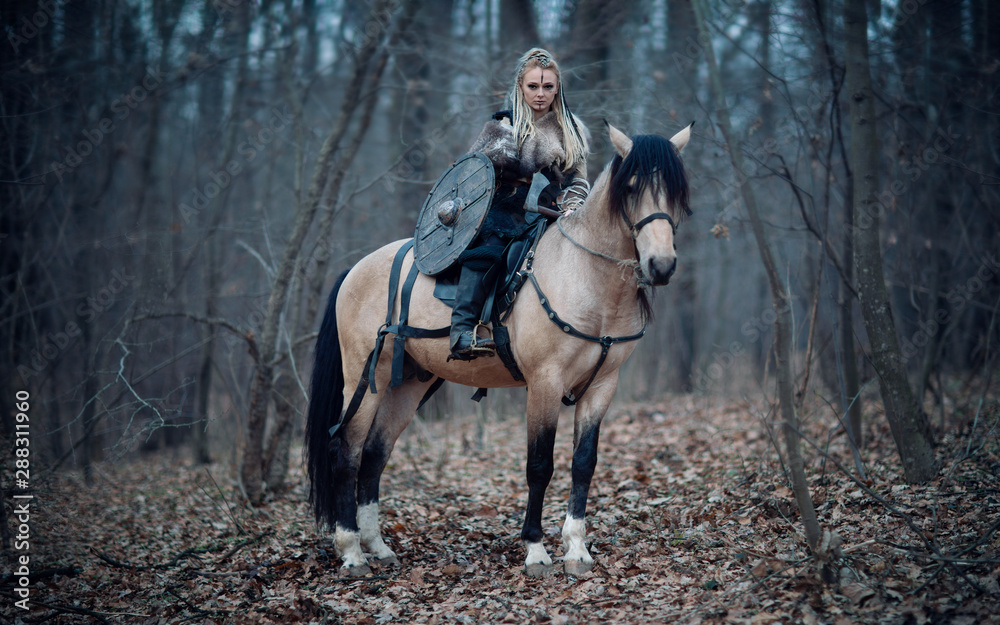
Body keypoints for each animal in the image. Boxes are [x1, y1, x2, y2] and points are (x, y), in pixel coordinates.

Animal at [305, 122, 693, 577]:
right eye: (631, 188)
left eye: (677, 191)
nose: (661, 266)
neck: (588, 278)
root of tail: (356, 269)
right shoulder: (544, 383)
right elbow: (539, 466)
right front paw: (536, 549)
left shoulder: (602, 388)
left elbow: (583, 464)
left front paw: (576, 548)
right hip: (366, 379)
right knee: (345, 453)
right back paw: (351, 551)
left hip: (408, 386)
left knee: (373, 456)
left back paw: (377, 546)